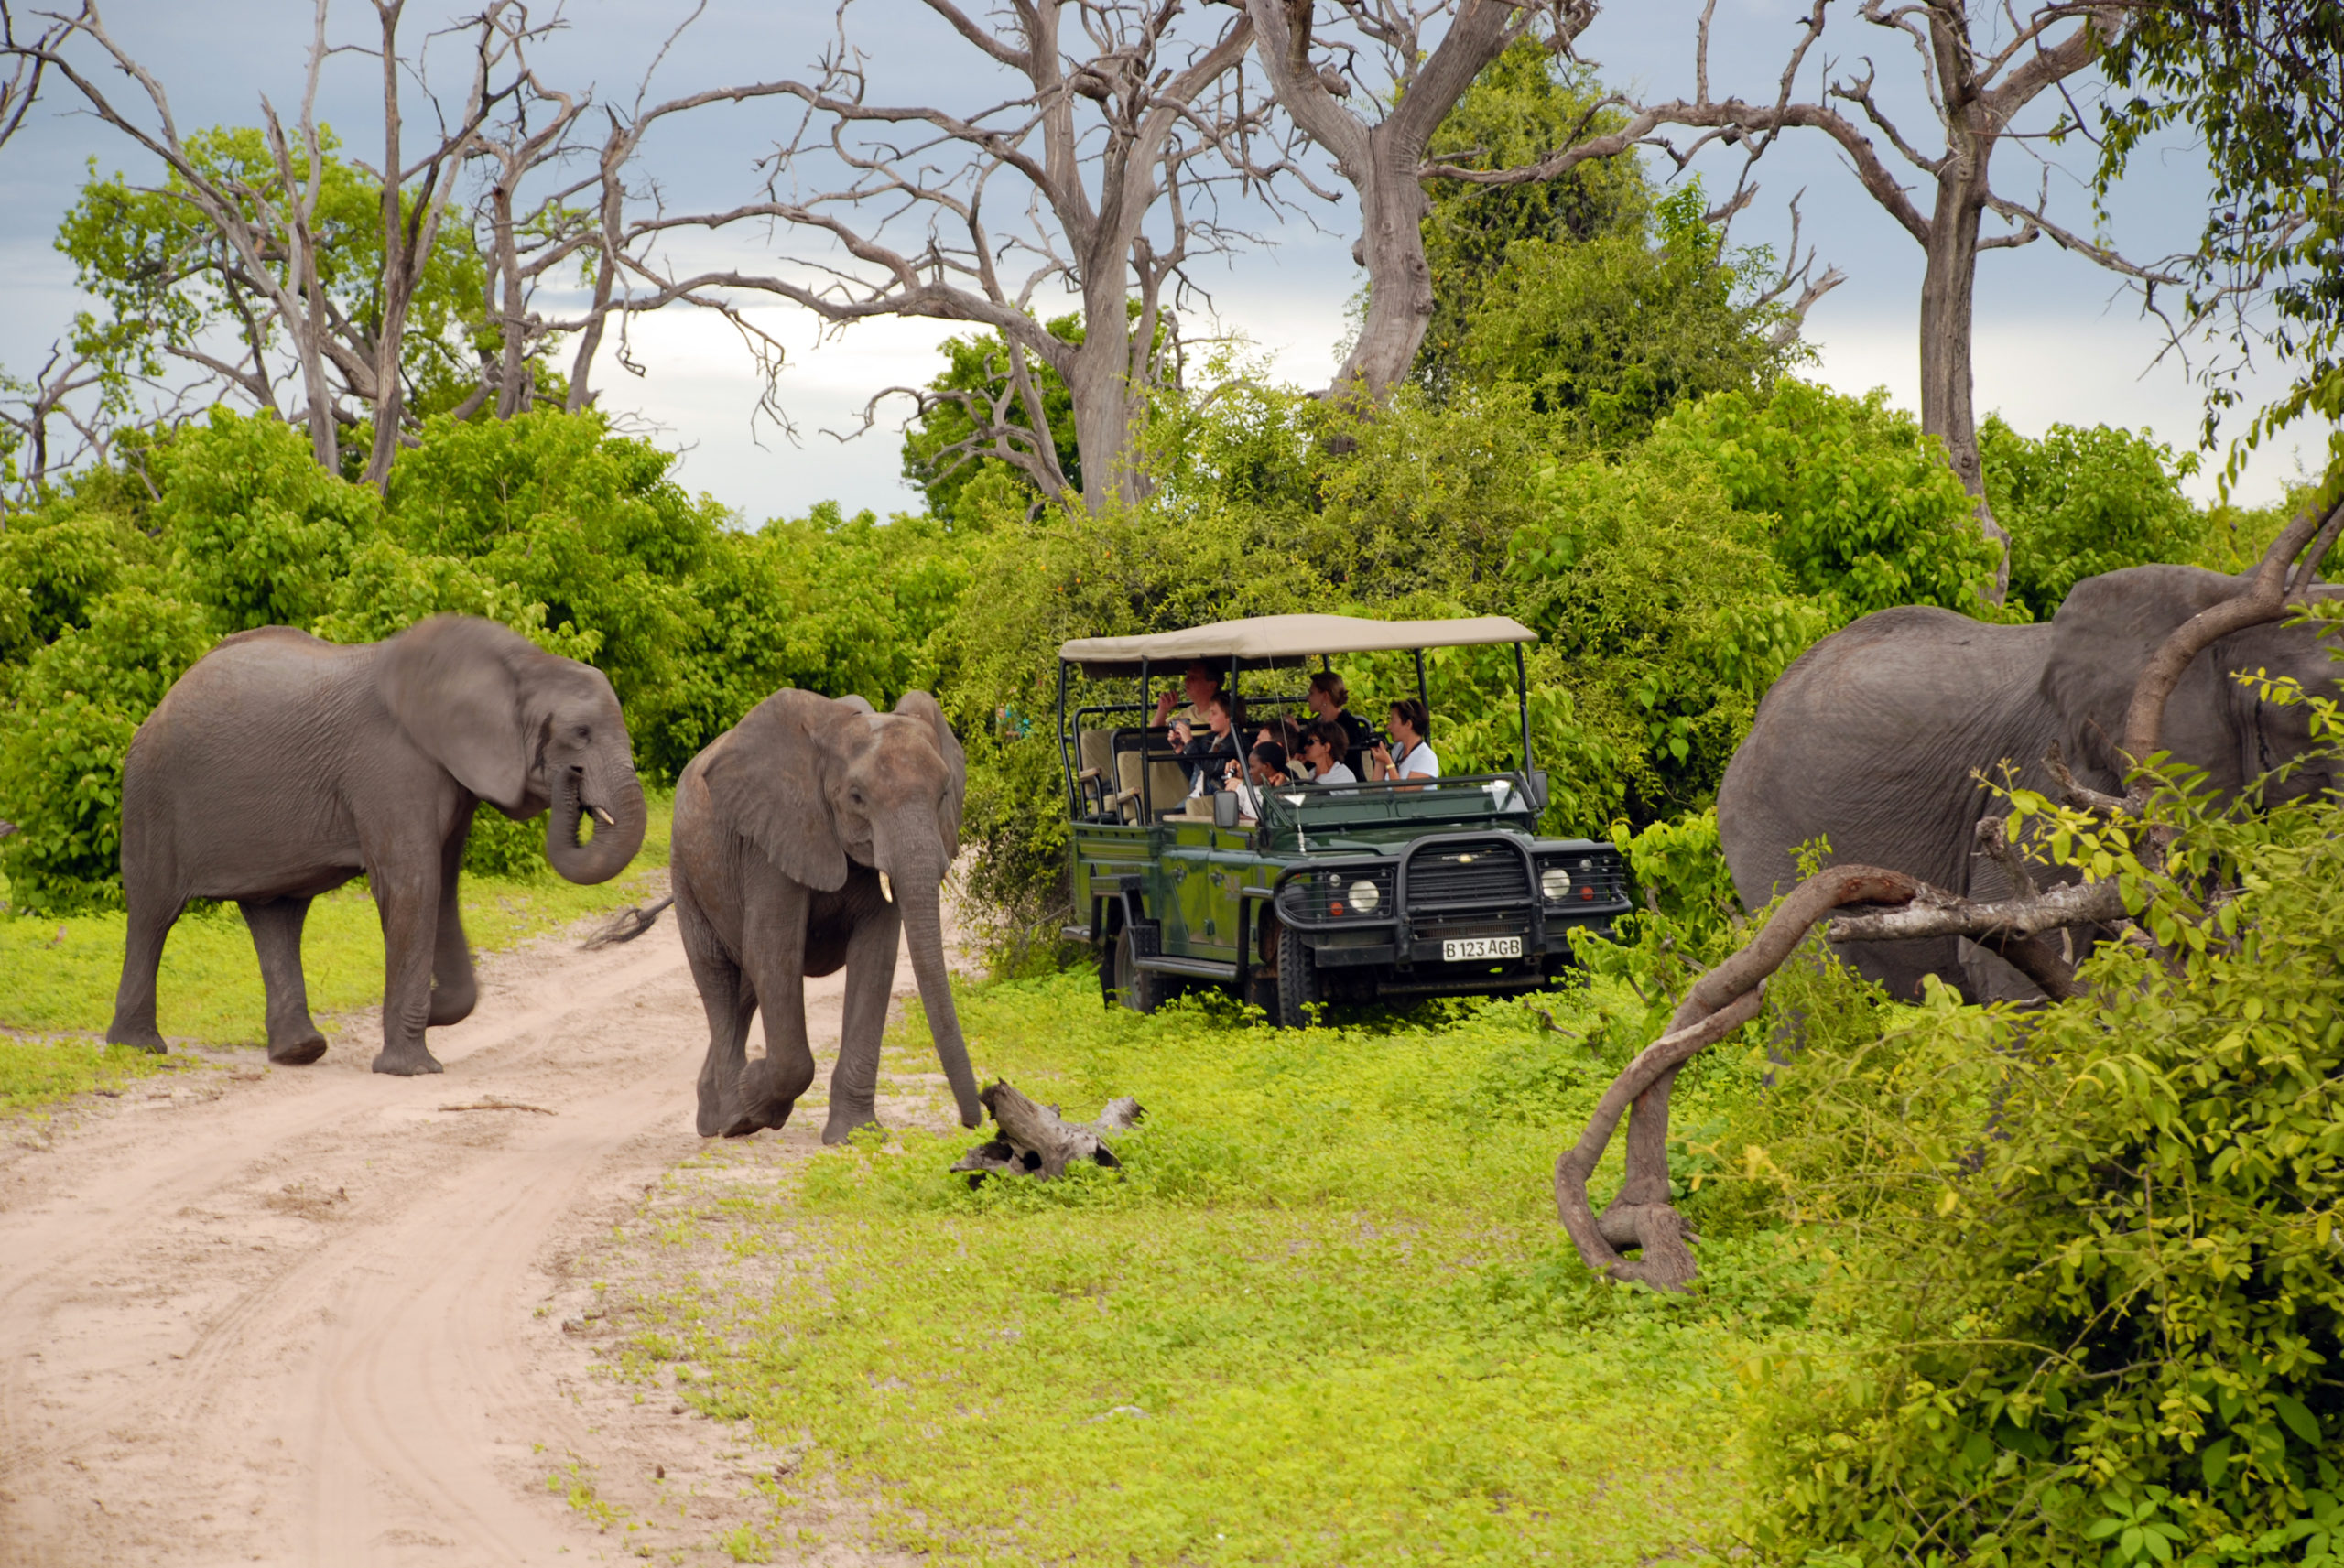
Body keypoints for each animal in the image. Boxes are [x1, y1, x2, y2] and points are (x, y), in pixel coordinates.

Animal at [106, 618, 646, 1068]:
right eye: (580, 733)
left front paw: (431, 1014)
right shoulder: (389, 763)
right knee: (154, 911)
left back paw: (299, 1052)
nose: (571, 779)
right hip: (151, 794)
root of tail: (161, 703)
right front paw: (412, 1067)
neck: (520, 662)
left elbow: (442, 887)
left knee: (276, 913)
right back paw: (140, 1049)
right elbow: (413, 885)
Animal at [670, 684, 980, 1139]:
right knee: (718, 977)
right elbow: (774, 950)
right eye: (856, 798)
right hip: (686, 870)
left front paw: (855, 1136)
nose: (974, 1121)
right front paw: (755, 1099)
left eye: (943, 795)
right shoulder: (772, 837)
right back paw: (733, 1120)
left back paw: (713, 1116)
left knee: (746, 983)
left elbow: (876, 958)